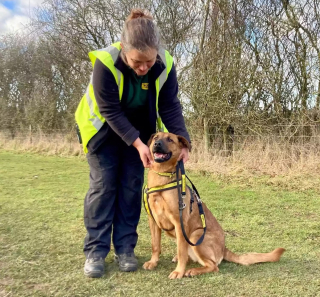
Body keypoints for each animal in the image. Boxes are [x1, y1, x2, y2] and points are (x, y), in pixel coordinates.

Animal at [142, 132, 284, 278]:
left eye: (170, 139)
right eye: (155, 137)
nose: (157, 144)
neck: (162, 177)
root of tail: (224, 248)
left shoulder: (179, 223)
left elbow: (181, 252)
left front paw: (178, 271)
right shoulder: (153, 221)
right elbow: (155, 245)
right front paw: (153, 262)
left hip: (196, 235)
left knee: (213, 266)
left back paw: (193, 270)